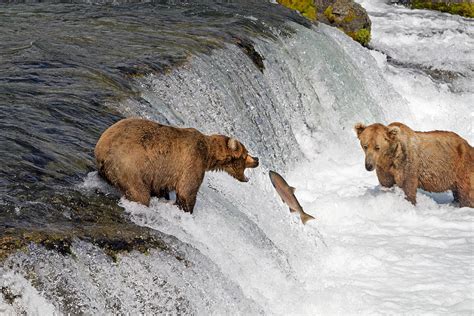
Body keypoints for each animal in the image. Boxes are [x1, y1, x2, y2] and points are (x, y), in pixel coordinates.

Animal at [95, 117, 260, 214]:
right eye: (246, 154)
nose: (257, 159)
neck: (209, 155)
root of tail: (101, 150)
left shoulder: (161, 174)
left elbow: (162, 188)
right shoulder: (192, 161)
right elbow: (187, 191)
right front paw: (186, 210)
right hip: (129, 167)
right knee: (139, 193)